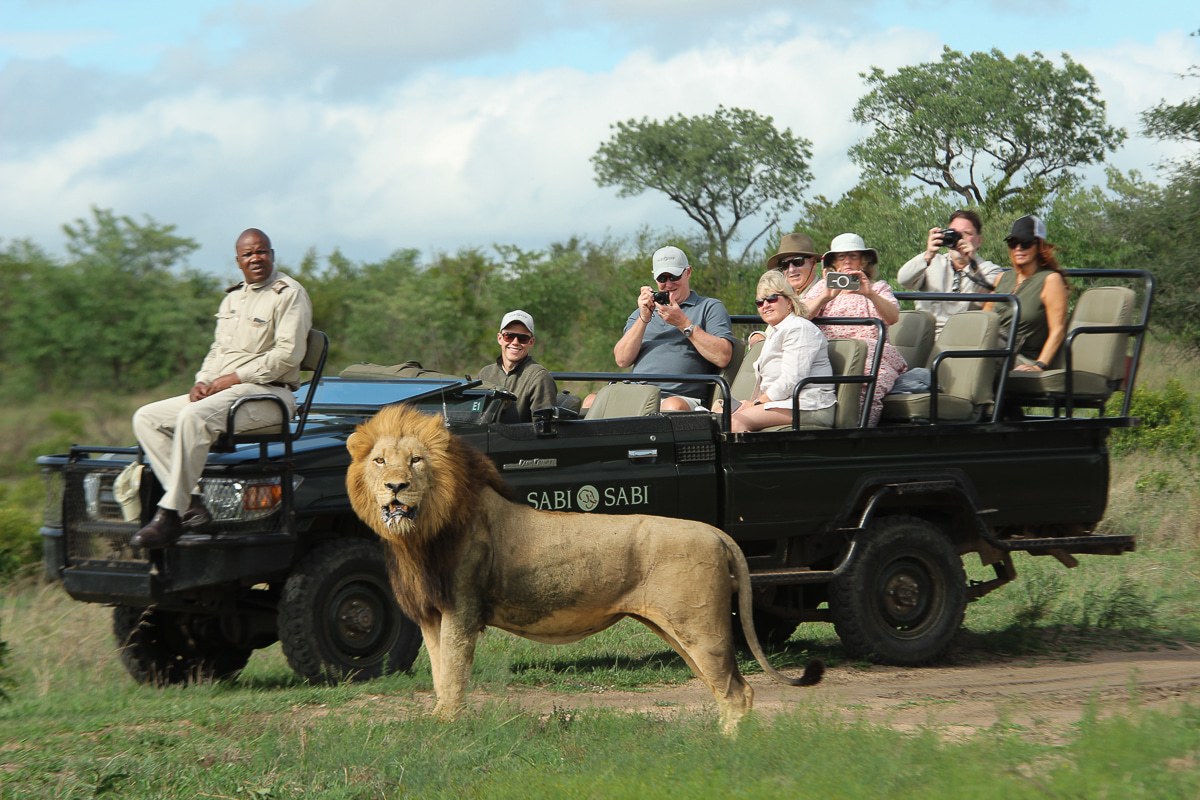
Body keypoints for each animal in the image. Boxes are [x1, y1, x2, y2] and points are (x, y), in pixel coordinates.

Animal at [346, 404, 823, 733]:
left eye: (416, 461)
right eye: (380, 461)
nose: (395, 488)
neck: (421, 533)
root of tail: (718, 533)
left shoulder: (462, 608)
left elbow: (454, 675)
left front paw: (448, 729)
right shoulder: (431, 614)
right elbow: (439, 674)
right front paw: (441, 725)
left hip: (700, 628)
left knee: (738, 692)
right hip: (685, 630)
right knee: (728, 689)